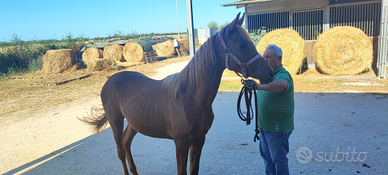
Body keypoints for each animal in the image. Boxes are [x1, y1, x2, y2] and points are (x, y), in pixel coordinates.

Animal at [81, 12, 276, 175]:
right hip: (116, 121)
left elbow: (193, 170)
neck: (190, 98)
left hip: (134, 123)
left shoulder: (199, 140)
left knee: (126, 143)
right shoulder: (181, 144)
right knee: (120, 150)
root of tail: (110, 81)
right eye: (242, 45)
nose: (270, 73)